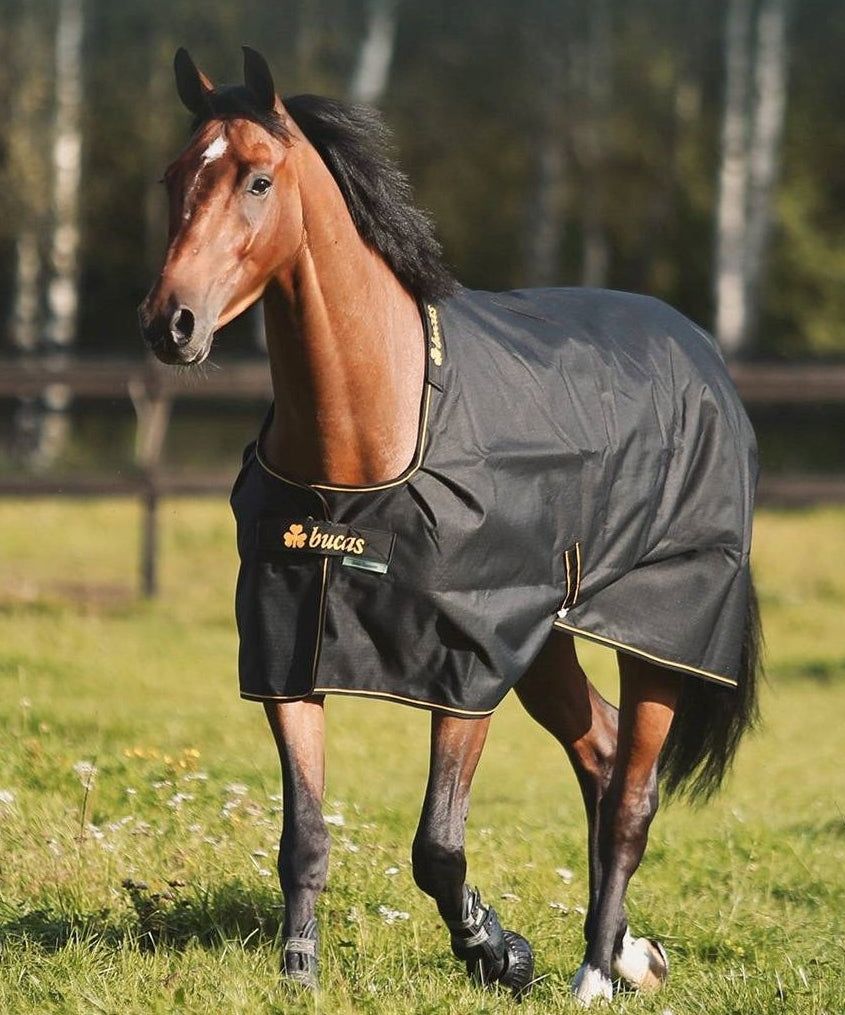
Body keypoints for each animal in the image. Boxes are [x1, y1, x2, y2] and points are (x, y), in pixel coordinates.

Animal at [138, 47, 761, 1006]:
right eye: (175, 176)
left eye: (257, 179)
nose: (171, 324)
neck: (368, 444)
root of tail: (698, 351)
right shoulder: (287, 651)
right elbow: (303, 836)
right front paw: (298, 972)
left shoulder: (464, 664)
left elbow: (436, 846)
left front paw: (498, 951)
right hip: (544, 641)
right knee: (600, 750)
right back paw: (628, 953)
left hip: (659, 636)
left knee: (630, 795)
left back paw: (592, 971)